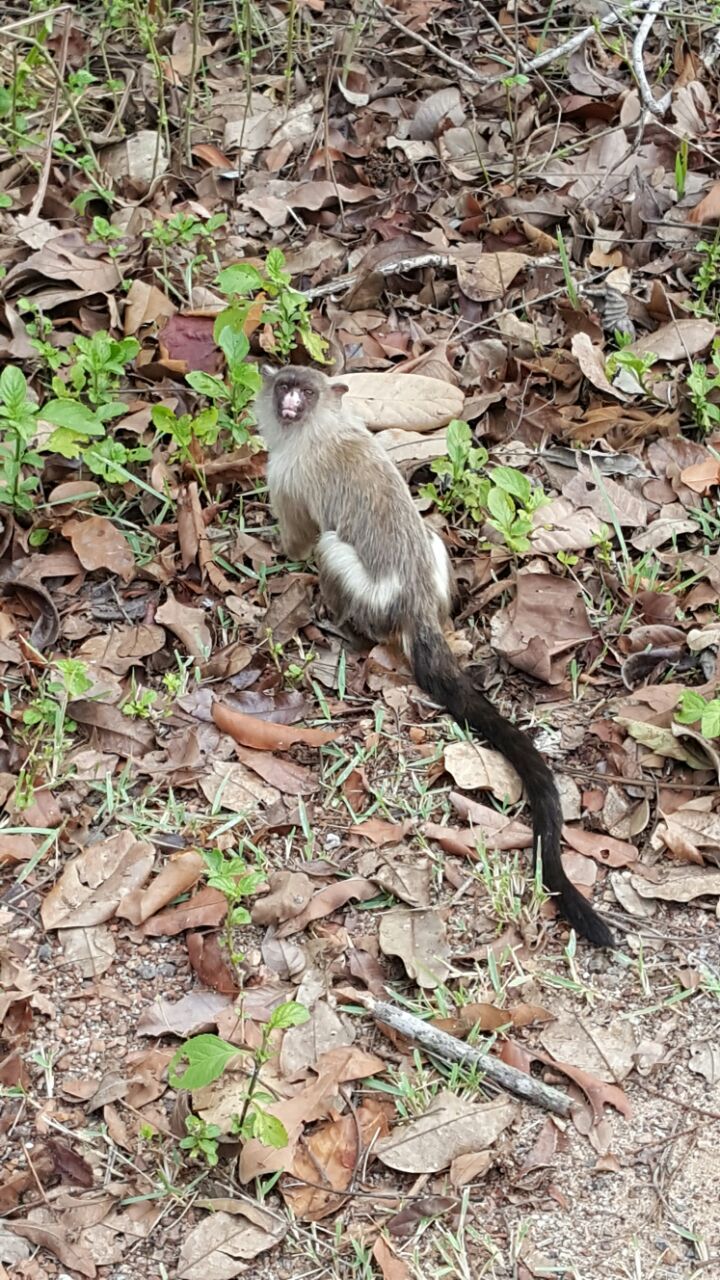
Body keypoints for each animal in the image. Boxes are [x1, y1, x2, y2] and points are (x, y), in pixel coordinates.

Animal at [252, 366, 609, 947]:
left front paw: (277, 552)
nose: (288, 403)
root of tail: (417, 604)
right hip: (436, 558)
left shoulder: (286, 475)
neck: (321, 427)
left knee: (331, 548)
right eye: (284, 385)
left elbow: (301, 537)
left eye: (303, 391)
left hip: (367, 595)